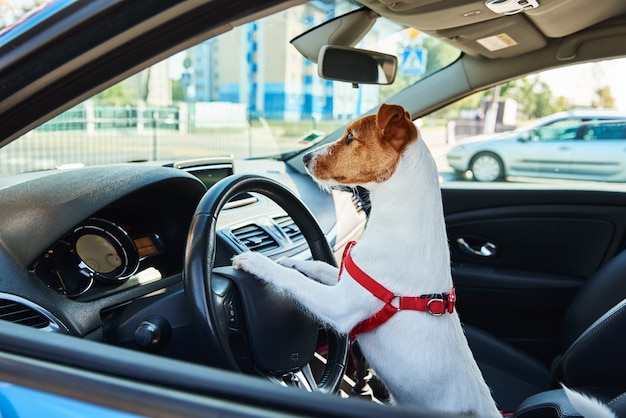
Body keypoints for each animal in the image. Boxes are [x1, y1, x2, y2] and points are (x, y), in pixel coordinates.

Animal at [232, 103, 500, 414]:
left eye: (350, 137)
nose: (306, 157)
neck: (400, 222)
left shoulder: (340, 306)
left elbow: (292, 280)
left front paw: (257, 261)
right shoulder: (345, 278)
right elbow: (319, 266)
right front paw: (291, 261)